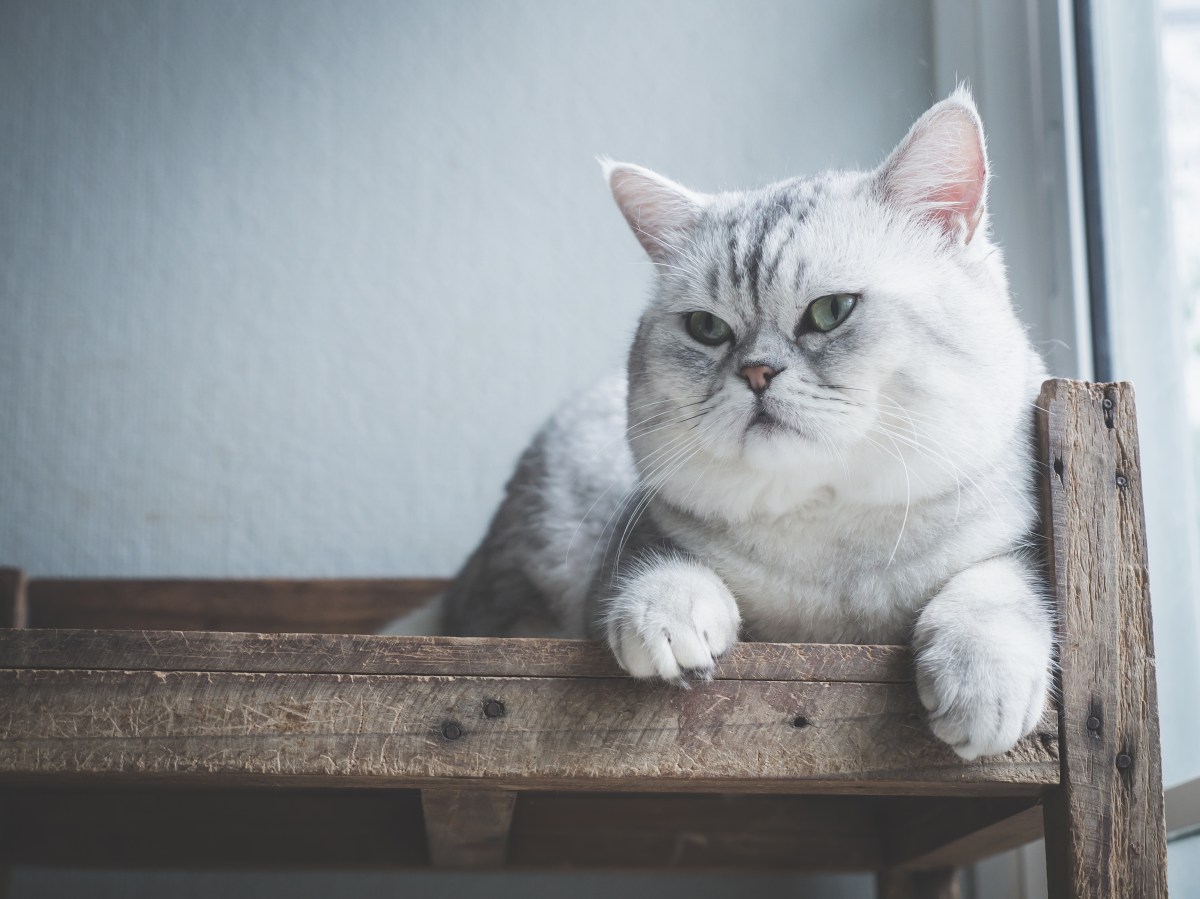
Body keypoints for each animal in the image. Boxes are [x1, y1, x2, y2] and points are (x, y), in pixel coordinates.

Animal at [393, 89, 1051, 758]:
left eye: (831, 311)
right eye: (707, 329)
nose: (756, 372)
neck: (825, 539)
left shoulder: (1021, 543)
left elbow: (994, 589)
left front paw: (980, 687)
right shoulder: (634, 535)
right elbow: (660, 564)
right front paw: (666, 616)